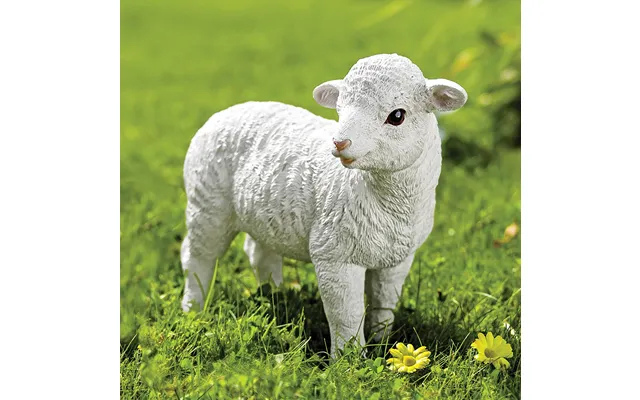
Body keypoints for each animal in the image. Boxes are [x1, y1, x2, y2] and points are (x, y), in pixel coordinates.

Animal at [180, 53, 468, 358]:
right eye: (339, 110)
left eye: (397, 116)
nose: (340, 142)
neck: (391, 204)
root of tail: (228, 111)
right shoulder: (334, 254)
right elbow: (346, 315)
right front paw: (349, 359)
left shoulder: (398, 257)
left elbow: (385, 302)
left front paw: (383, 342)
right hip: (207, 202)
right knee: (197, 257)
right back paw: (194, 308)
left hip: (263, 209)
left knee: (260, 253)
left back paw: (275, 297)